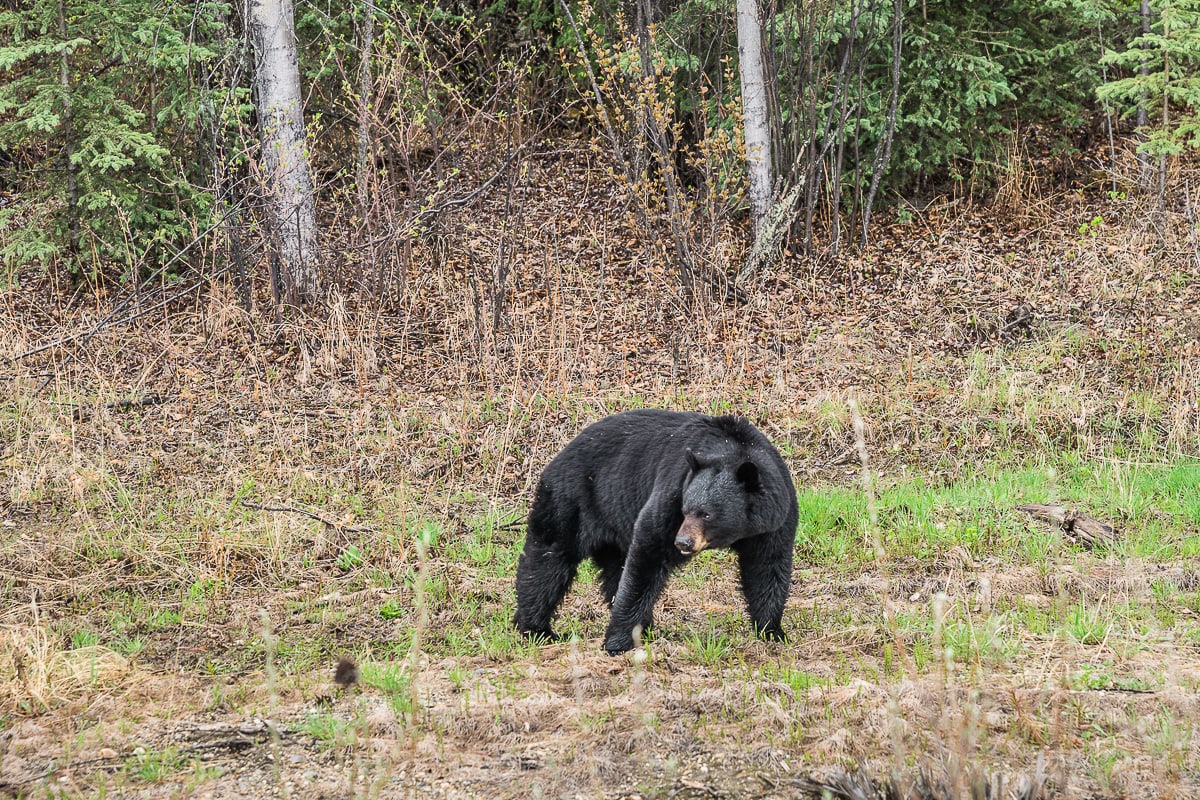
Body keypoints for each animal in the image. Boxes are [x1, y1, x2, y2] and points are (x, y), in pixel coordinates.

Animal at [513, 410, 796, 652]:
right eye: (686, 509)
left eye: (706, 513)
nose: (682, 542)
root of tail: (558, 455)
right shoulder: (674, 488)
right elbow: (650, 550)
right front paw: (616, 643)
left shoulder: (775, 520)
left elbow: (767, 567)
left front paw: (772, 631)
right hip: (571, 501)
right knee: (549, 559)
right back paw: (537, 628)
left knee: (615, 570)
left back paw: (645, 628)